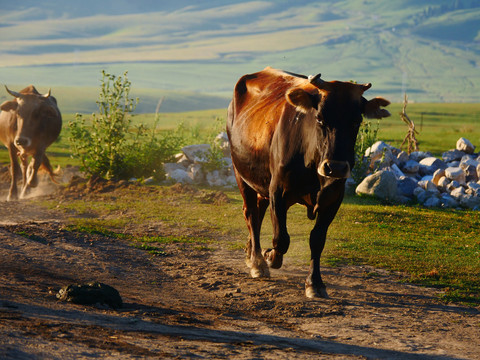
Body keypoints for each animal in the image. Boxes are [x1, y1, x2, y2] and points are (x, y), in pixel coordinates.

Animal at [226, 67, 390, 298]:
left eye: (356, 121)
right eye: (320, 118)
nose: (335, 167)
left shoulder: (334, 197)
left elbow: (317, 239)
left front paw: (315, 283)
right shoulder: (277, 190)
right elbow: (281, 238)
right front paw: (270, 256)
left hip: (261, 183)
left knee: (257, 213)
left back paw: (251, 254)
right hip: (241, 173)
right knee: (251, 214)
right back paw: (258, 262)